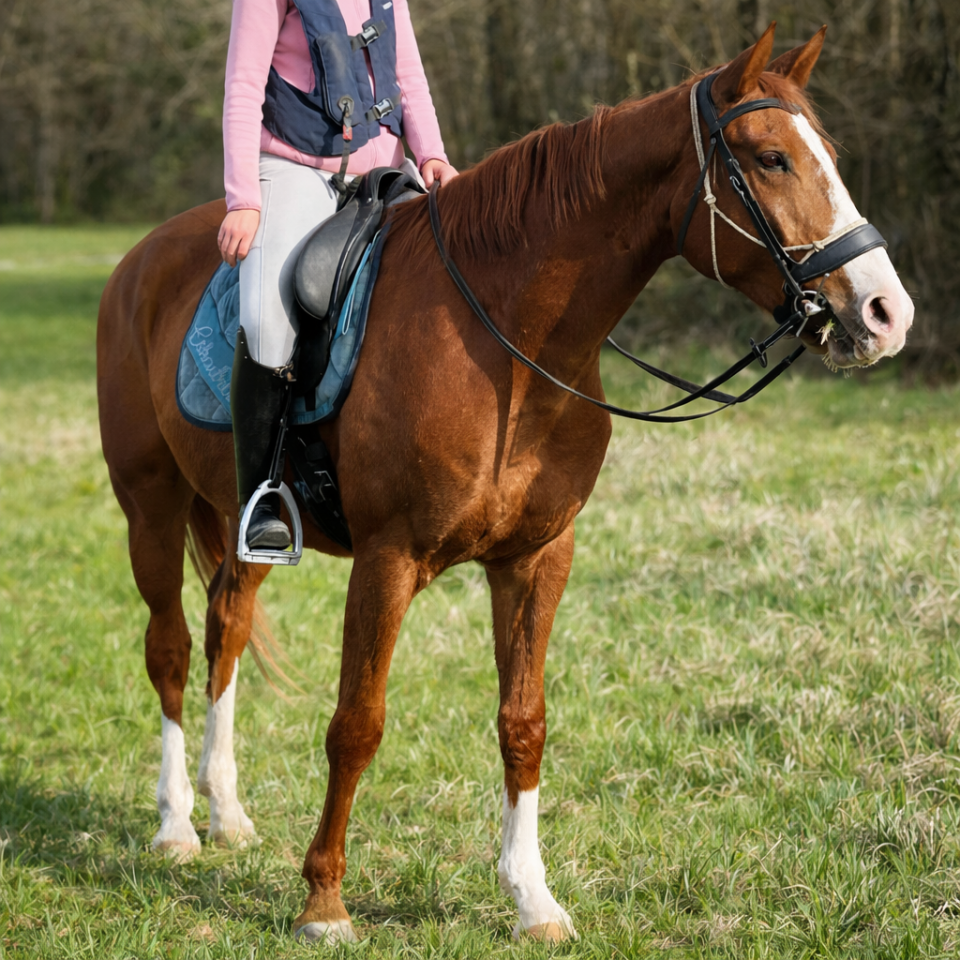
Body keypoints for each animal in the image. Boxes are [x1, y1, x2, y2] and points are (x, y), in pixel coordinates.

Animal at [96, 23, 913, 944]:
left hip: (244, 522)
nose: (886, 312)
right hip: (149, 507)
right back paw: (175, 826)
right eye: (772, 159)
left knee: (225, 633)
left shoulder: (535, 558)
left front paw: (533, 900)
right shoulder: (387, 562)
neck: (506, 342)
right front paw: (325, 903)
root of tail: (144, 257)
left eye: (827, 155)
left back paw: (227, 814)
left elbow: (524, 722)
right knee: (170, 650)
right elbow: (357, 724)